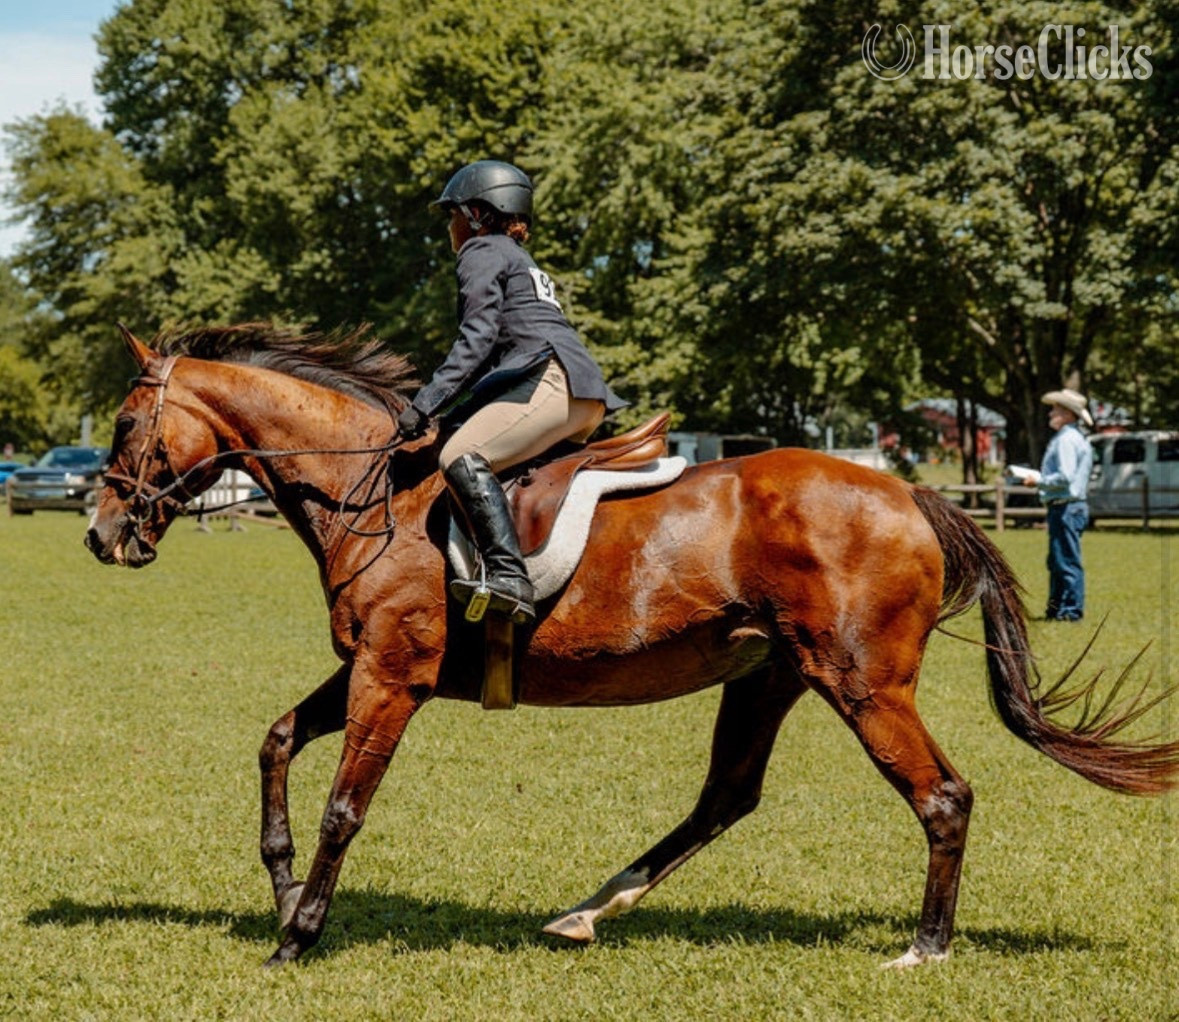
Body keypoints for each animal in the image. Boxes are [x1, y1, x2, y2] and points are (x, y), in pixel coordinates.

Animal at [85, 322, 1179, 968]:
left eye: (128, 423)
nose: (102, 534)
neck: (370, 489)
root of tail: (909, 490)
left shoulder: (392, 675)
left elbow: (345, 804)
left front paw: (300, 935)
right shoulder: (368, 665)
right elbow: (277, 740)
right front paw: (277, 890)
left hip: (862, 682)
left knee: (941, 795)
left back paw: (926, 946)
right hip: (771, 674)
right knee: (726, 797)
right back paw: (586, 910)